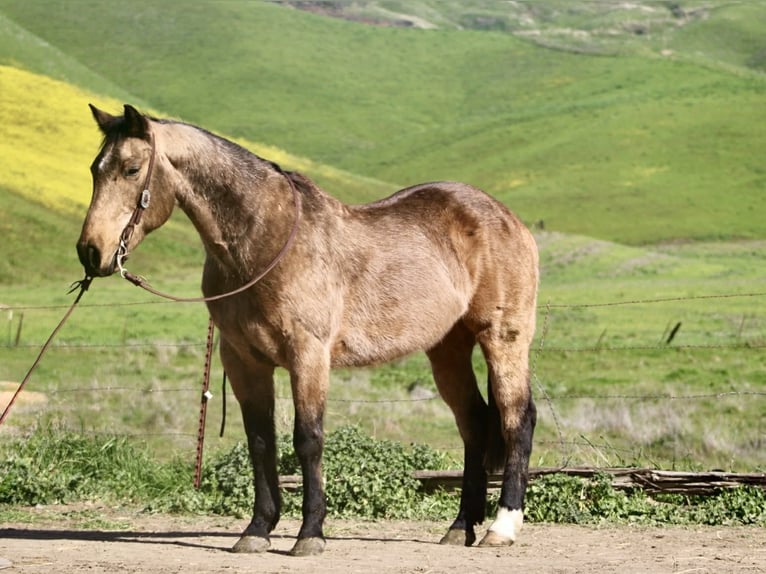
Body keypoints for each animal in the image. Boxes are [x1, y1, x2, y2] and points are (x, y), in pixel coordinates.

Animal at [77, 104, 539, 557]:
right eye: (95, 169)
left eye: (132, 169)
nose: (90, 252)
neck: (265, 242)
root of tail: (508, 218)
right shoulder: (243, 361)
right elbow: (261, 441)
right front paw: (257, 530)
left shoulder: (308, 355)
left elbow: (308, 439)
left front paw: (310, 533)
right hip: (447, 349)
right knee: (474, 423)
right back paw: (460, 528)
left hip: (503, 339)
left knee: (516, 419)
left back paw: (502, 526)